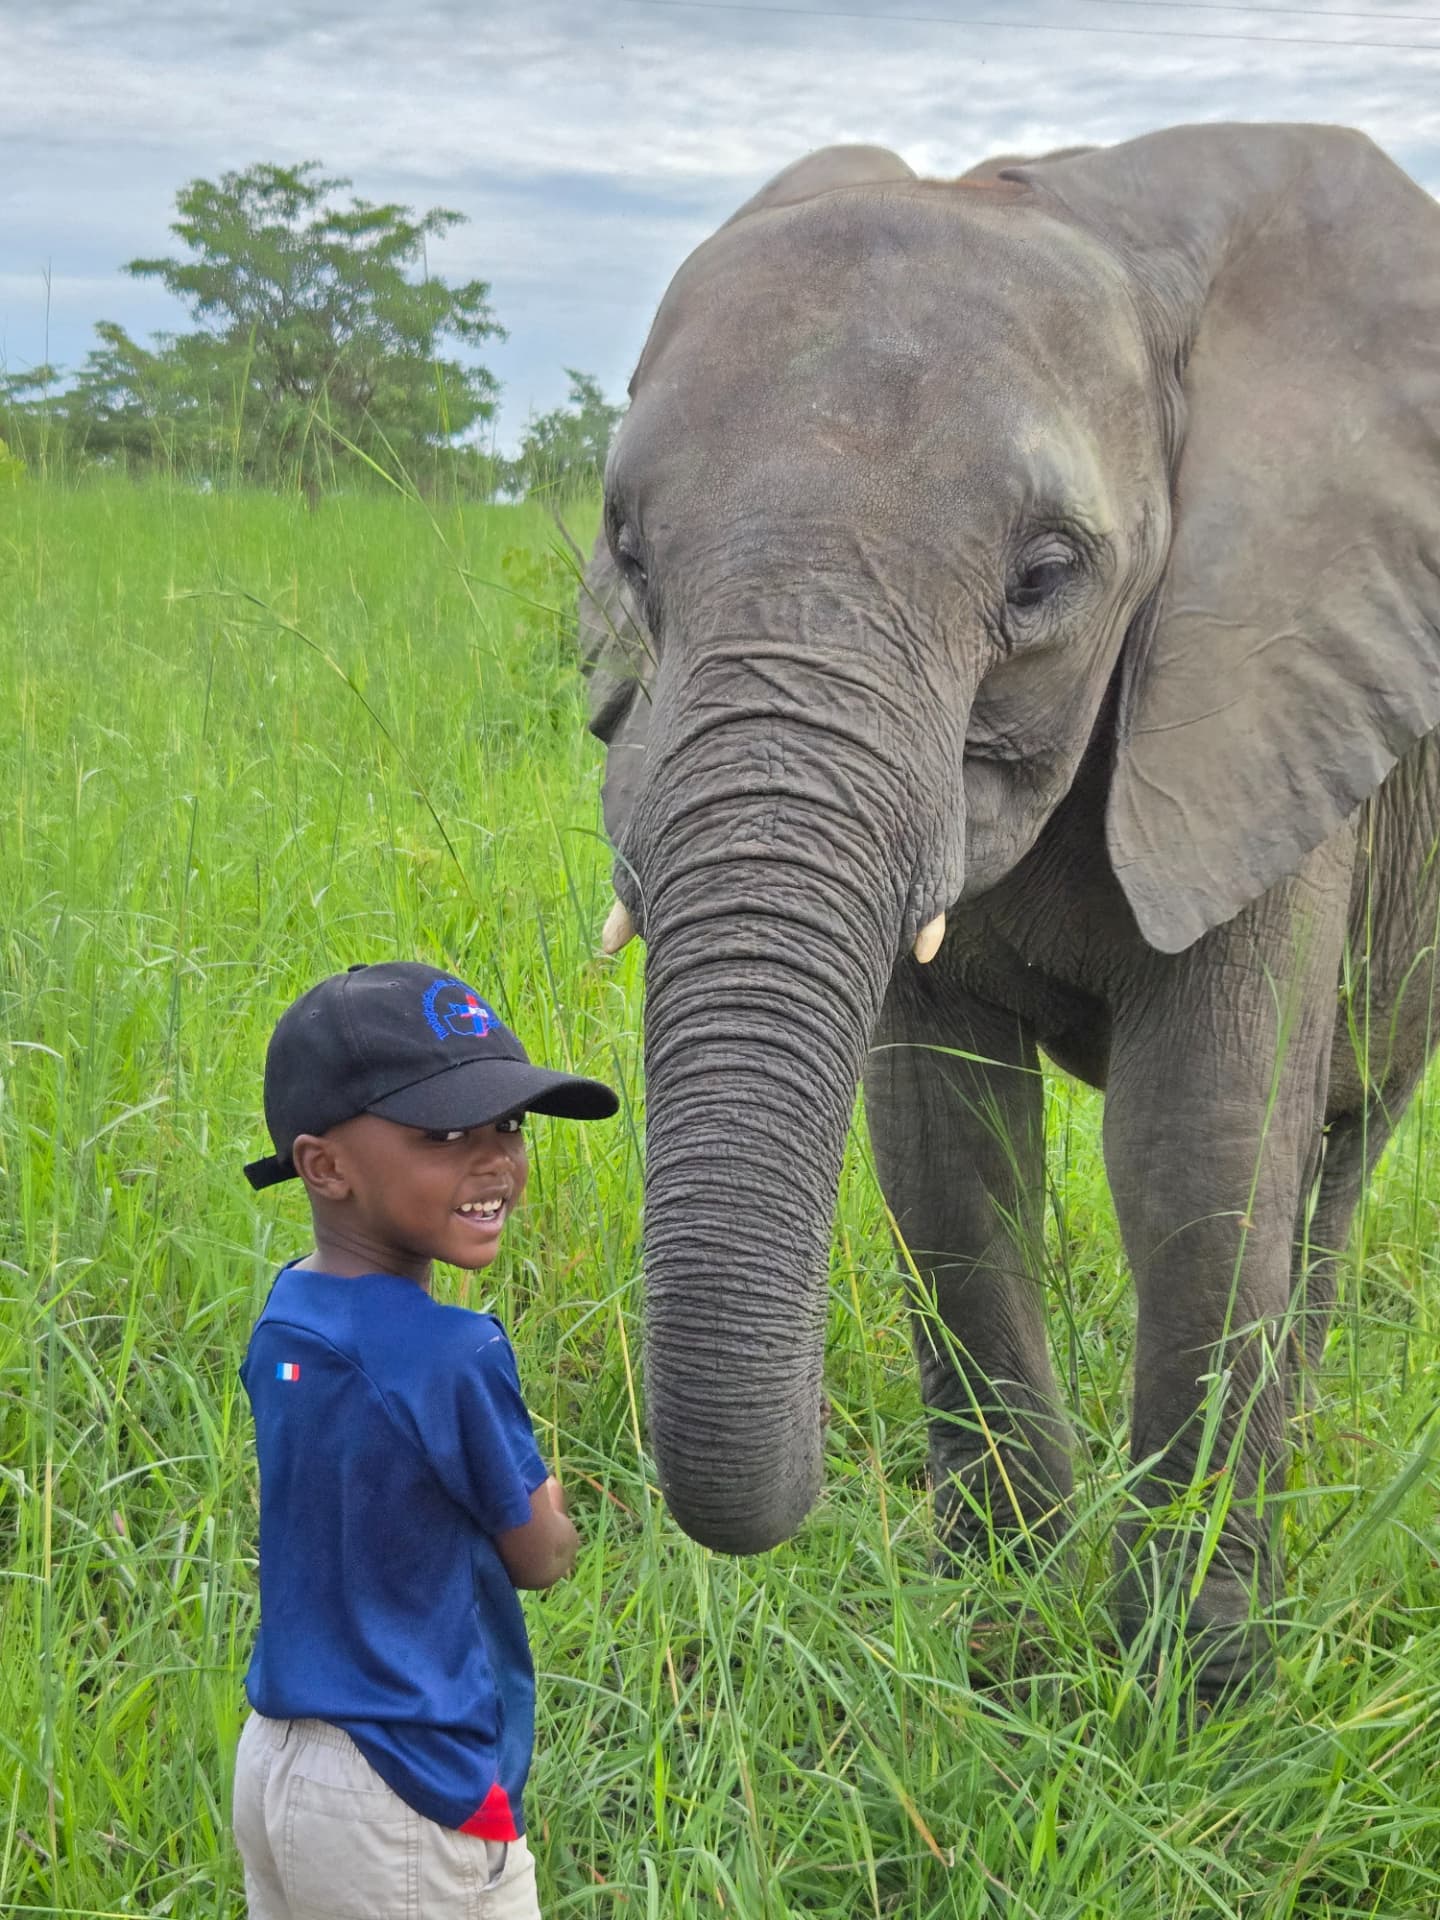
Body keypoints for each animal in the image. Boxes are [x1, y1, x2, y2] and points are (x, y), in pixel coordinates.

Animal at [577, 127, 1440, 1696]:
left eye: (1044, 577)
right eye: (629, 553)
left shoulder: (1270, 693)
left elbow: (1202, 1150)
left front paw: (1189, 1691)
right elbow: (944, 1149)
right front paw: (1004, 1635)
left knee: (1340, 1152)